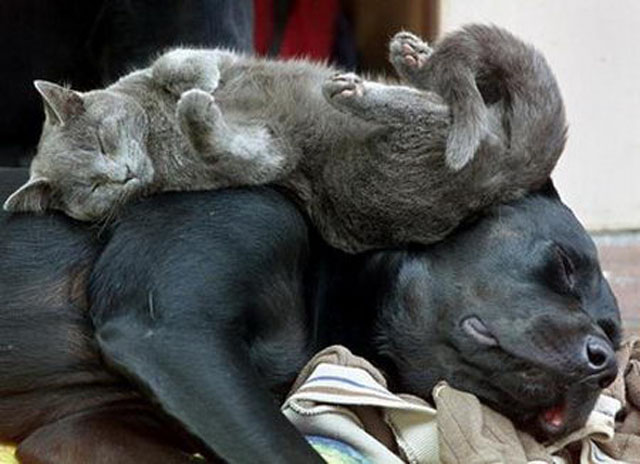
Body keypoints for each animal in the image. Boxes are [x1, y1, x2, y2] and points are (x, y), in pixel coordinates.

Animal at [3, 25, 564, 254]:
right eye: (94, 189)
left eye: (102, 139)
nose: (121, 174)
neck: (158, 141)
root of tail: (506, 176)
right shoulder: (265, 158)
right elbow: (236, 149)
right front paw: (197, 108)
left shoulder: (208, 58)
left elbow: (174, 60)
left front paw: (194, 87)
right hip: (365, 177)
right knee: (448, 110)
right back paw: (365, 85)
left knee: (450, 100)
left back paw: (405, 59)